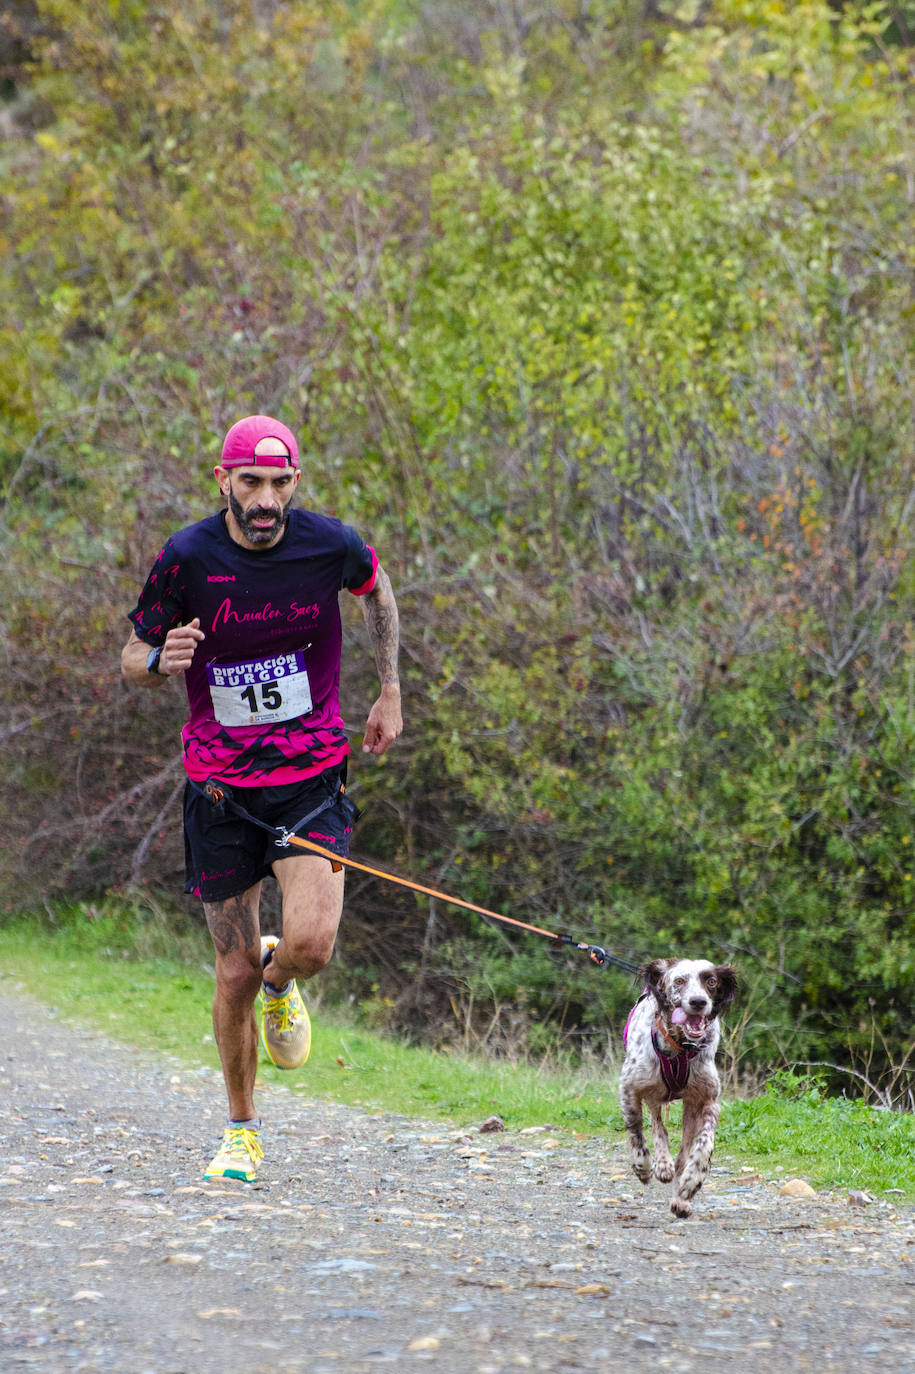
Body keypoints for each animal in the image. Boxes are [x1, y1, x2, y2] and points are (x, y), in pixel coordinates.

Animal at [615, 961, 736, 1220]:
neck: (680, 1047)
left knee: (681, 1153)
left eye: (711, 981)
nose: (698, 1002)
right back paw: (661, 1164)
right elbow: (636, 1132)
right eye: (679, 981)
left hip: (689, 1109)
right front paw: (643, 1167)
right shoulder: (629, 1089)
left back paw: (680, 1197)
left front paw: (692, 1180)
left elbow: (704, 1143)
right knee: (657, 1125)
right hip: (652, 1095)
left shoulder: (709, 1100)